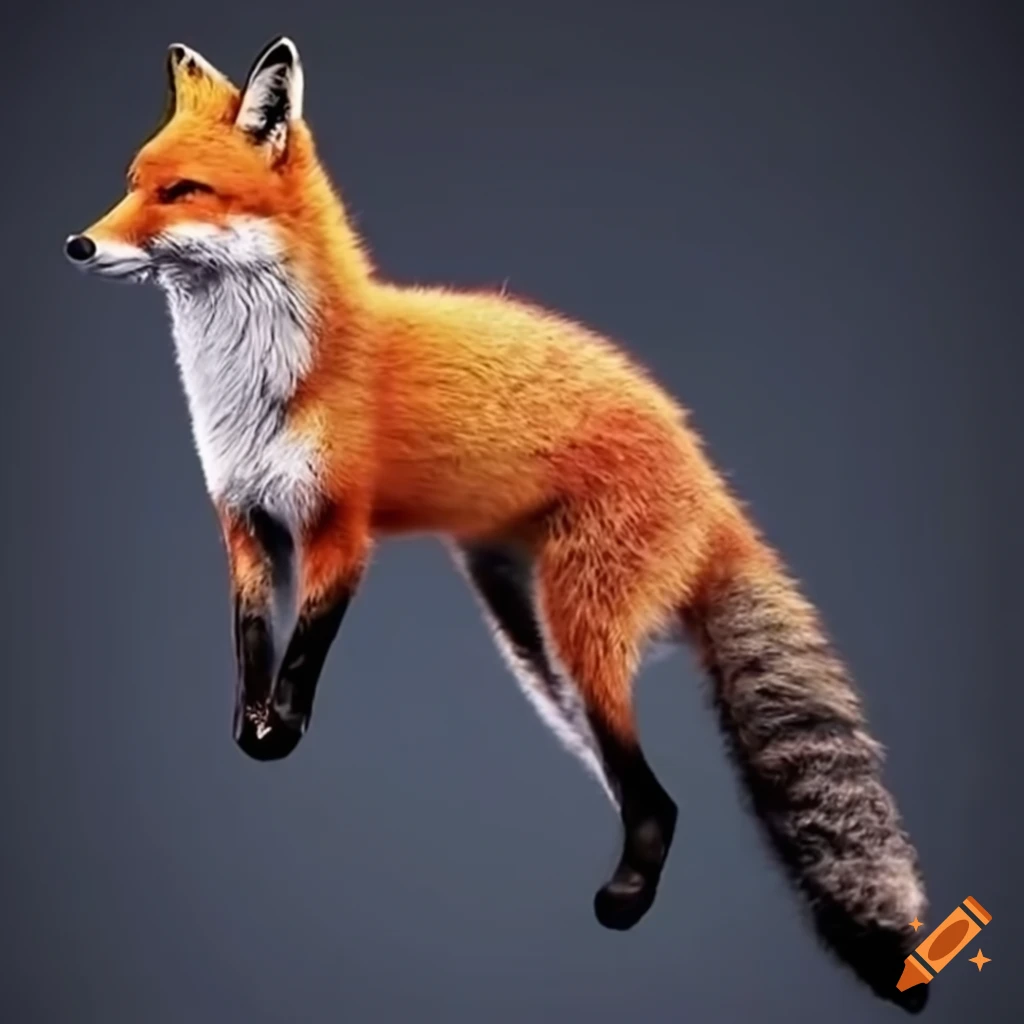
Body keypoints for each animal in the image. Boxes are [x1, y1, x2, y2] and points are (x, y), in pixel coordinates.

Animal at [66, 36, 929, 1012]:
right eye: (132, 183)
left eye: (183, 192)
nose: (77, 243)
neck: (262, 387)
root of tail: (705, 471)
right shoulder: (246, 526)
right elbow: (252, 640)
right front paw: (250, 725)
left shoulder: (340, 530)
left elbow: (303, 650)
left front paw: (279, 730)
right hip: (533, 646)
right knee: (638, 790)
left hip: (579, 634)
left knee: (658, 801)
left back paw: (628, 898)